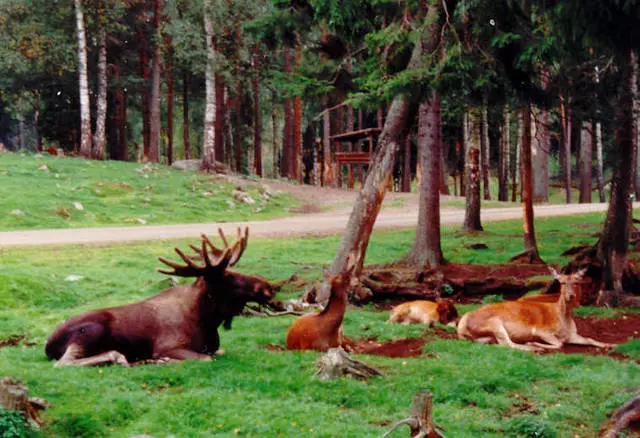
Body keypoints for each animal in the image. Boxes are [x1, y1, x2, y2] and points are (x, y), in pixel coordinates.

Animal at [44, 228, 276, 368]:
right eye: (229, 277)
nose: (267, 287)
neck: (207, 321)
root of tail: (48, 345)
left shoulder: (215, 346)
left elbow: (219, 351)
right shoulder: (169, 346)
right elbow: (206, 358)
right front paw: (164, 360)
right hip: (90, 332)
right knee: (63, 363)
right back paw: (121, 357)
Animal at [456, 266, 616, 352]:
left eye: (577, 282)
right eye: (562, 282)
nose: (570, 295)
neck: (563, 321)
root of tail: (460, 327)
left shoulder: (571, 335)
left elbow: (589, 339)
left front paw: (612, 344)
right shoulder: (541, 330)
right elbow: (559, 344)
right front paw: (533, 343)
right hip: (494, 323)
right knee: (507, 343)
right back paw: (534, 348)